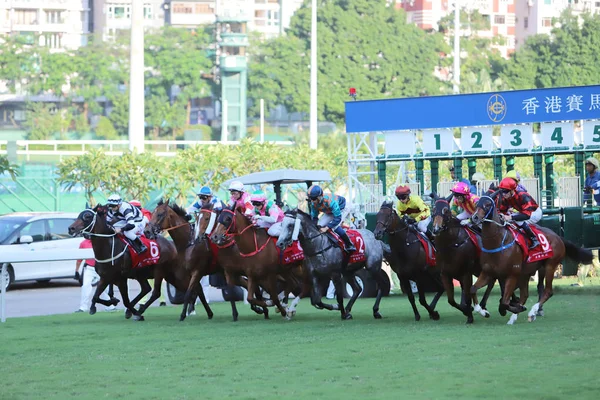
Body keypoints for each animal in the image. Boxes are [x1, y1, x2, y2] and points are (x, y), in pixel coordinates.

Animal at [474, 192, 596, 324]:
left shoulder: (512, 274)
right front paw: (483, 311)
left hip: (549, 266)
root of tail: (558, 236)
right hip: (526, 272)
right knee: (525, 294)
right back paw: (515, 316)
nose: (474, 218)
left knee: (548, 291)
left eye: (487, 204)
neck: (497, 243)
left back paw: (532, 312)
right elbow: (473, 289)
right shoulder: (487, 273)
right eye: (477, 203)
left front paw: (516, 308)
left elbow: (504, 302)